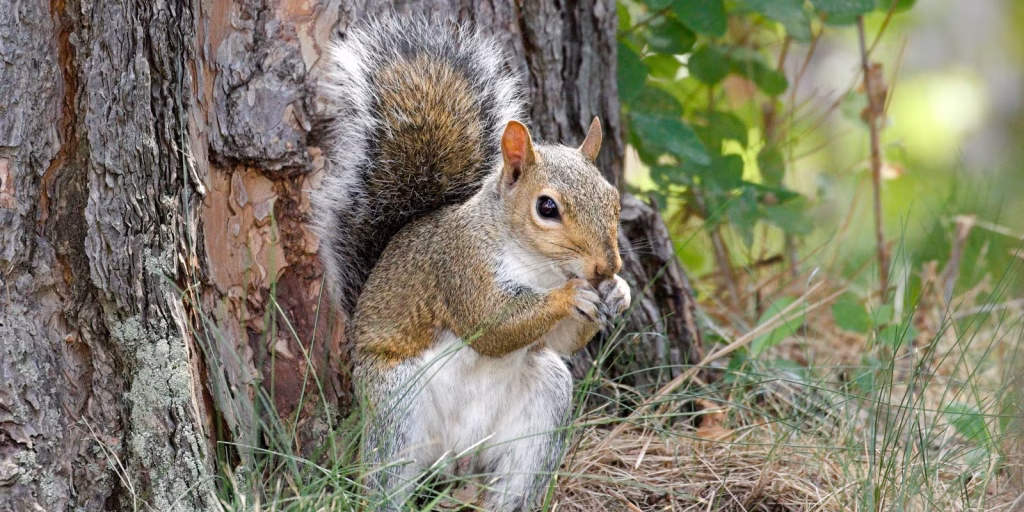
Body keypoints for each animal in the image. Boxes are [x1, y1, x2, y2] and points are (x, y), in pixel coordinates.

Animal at [312, 16, 631, 511]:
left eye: (613, 198)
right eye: (547, 208)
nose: (604, 268)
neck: (537, 266)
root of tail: (459, 454)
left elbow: (559, 342)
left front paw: (618, 292)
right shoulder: (459, 268)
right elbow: (491, 325)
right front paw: (571, 295)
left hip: (543, 407)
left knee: (516, 481)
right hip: (397, 407)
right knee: (388, 476)